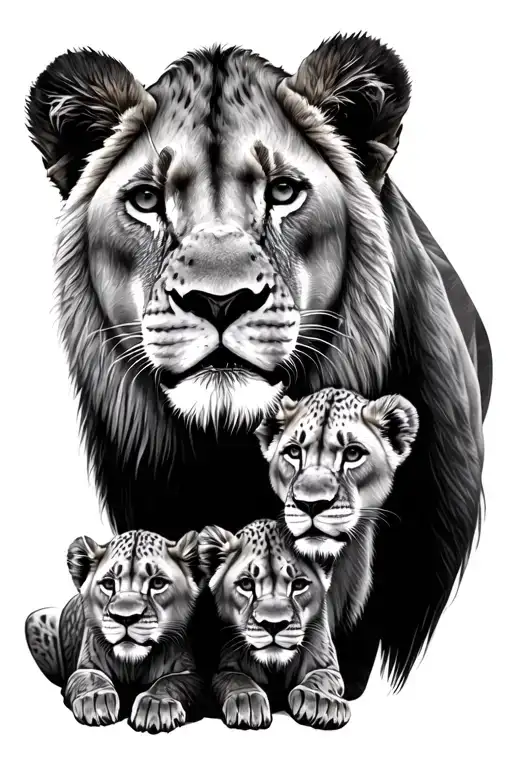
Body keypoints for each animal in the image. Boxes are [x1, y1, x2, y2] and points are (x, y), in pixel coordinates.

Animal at [25, 530, 203, 732]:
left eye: (158, 583)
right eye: (109, 584)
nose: (125, 618)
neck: (132, 665)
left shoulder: (190, 674)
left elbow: (170, 682)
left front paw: (157, 704)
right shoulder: (84, 667)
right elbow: (89, 677)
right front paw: (95, 700)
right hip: (36, 617)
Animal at [198, 519, 350, 730]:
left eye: (298, 585)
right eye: (246, 584)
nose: (273, 625)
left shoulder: (328, 666)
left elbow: (320, 677)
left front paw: (321, 700)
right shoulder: (225, 668)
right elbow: (237, 679)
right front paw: (247, 701)